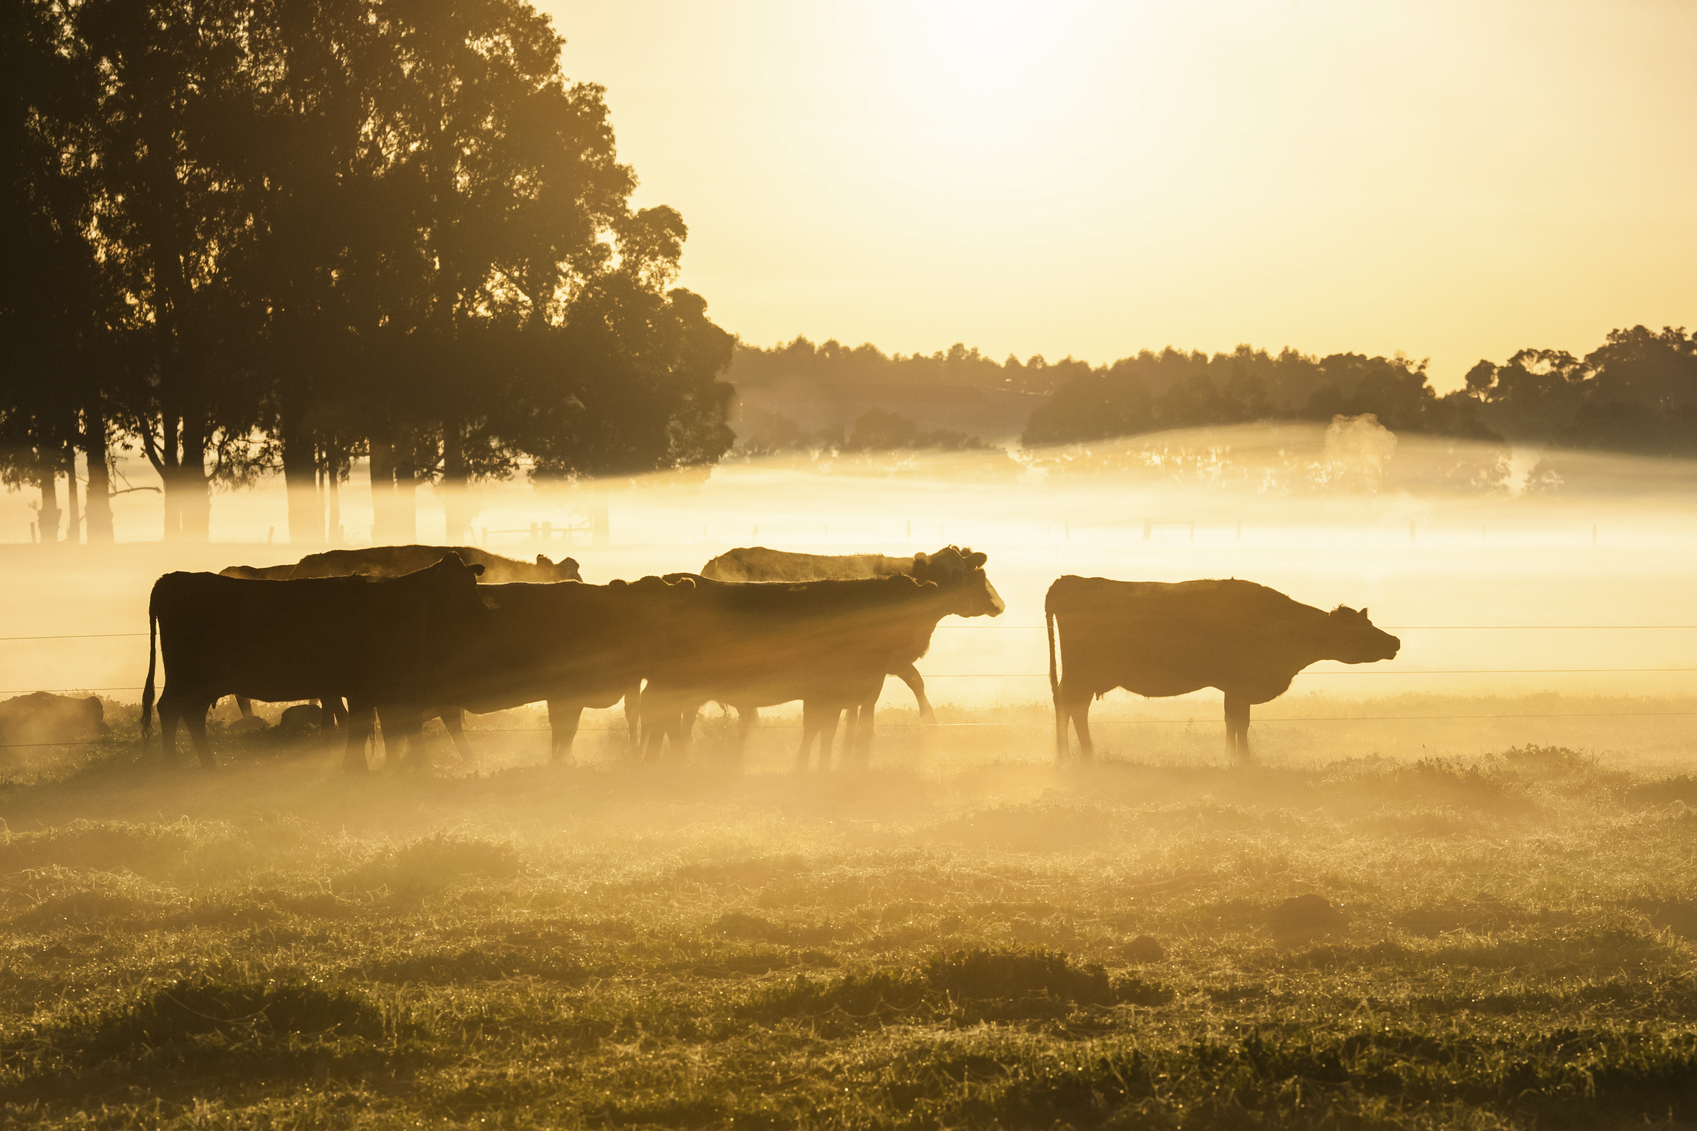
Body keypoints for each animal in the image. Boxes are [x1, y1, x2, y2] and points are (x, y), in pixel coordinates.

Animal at [141, 553, 488, 767]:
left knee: (185, 713)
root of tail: (170, 579)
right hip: (190, 677)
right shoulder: (364, 687)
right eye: (458, 591)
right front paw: (355, 766)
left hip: (197, 681)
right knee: (172, 710)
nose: (484, 614)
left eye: (473, 585)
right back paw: (176, 765)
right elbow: (362, 726)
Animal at [641, 567, 997, 770]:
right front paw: (807, 767)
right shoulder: (825, 690)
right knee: (661, 720)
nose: (999, 605)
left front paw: (822, 765)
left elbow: (829, 729)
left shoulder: (844, 691)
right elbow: (818, 727)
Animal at [1045, 577, 1391, 760]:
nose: (1395, 641)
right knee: (1070, 706)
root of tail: (1067, 581)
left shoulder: (1235, 689)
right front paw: (1241, 759)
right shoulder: (1240, 685)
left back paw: (1078, 754)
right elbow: (1239, 723)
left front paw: (1234, 757)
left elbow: (1235, 722)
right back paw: (1073, 755)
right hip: (1081, 673)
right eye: (1361, 629)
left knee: (1073, 707)